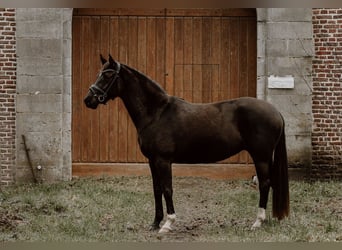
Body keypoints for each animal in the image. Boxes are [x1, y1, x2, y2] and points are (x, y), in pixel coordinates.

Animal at [83, 54, 288, 232]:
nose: (88, 100)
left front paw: (168, 224)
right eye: (99, 73)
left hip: (260, 157)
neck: (157, 113)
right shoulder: (152, 161)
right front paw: (155, 223)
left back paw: (257, 222)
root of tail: (276, 111)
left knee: (265, 183)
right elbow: (157, 189)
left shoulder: (163, 160)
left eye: (108, 75)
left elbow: (167, 189)